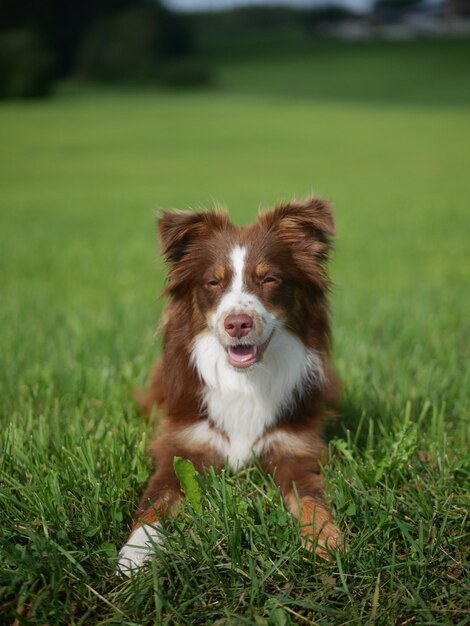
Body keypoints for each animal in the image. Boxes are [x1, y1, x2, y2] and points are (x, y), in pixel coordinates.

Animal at [118, 197, 342, 572]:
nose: (237, 323)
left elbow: (310, 497)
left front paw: (326, 538)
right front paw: (135, 552)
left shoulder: (295, 449)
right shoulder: (182, 444)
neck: (245, 382)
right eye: (213, 282)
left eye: (269, 279)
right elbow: (155, 498)